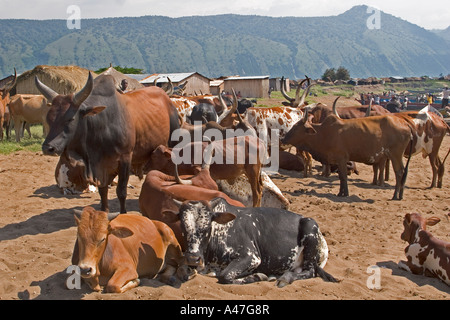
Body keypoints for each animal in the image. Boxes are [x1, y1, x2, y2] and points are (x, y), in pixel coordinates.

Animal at [165, 198, 338, 288]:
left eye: (207, 227)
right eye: (182, 225)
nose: (193, 258)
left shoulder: (251, 257)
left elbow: (225, 276)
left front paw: (258, 276)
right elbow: (181, 270)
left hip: (310, 230)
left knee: (309, 272)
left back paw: (283, 278)